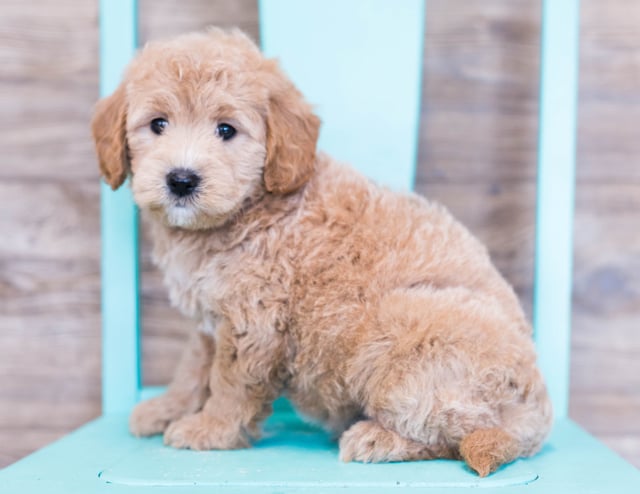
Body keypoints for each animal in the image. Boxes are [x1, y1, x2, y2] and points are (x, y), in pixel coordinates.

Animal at [90, 29, 552, 476]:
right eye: (157, 124)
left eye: (226, 130)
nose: (181, 180)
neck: (251, 207)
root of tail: (536, 412)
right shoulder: (210, 322)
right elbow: (192, 369)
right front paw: (167, 410)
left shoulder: (252, 322)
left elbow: (229, 383)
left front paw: (210, 429)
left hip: (401, 326)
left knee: (451, 433)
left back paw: (376, 439)